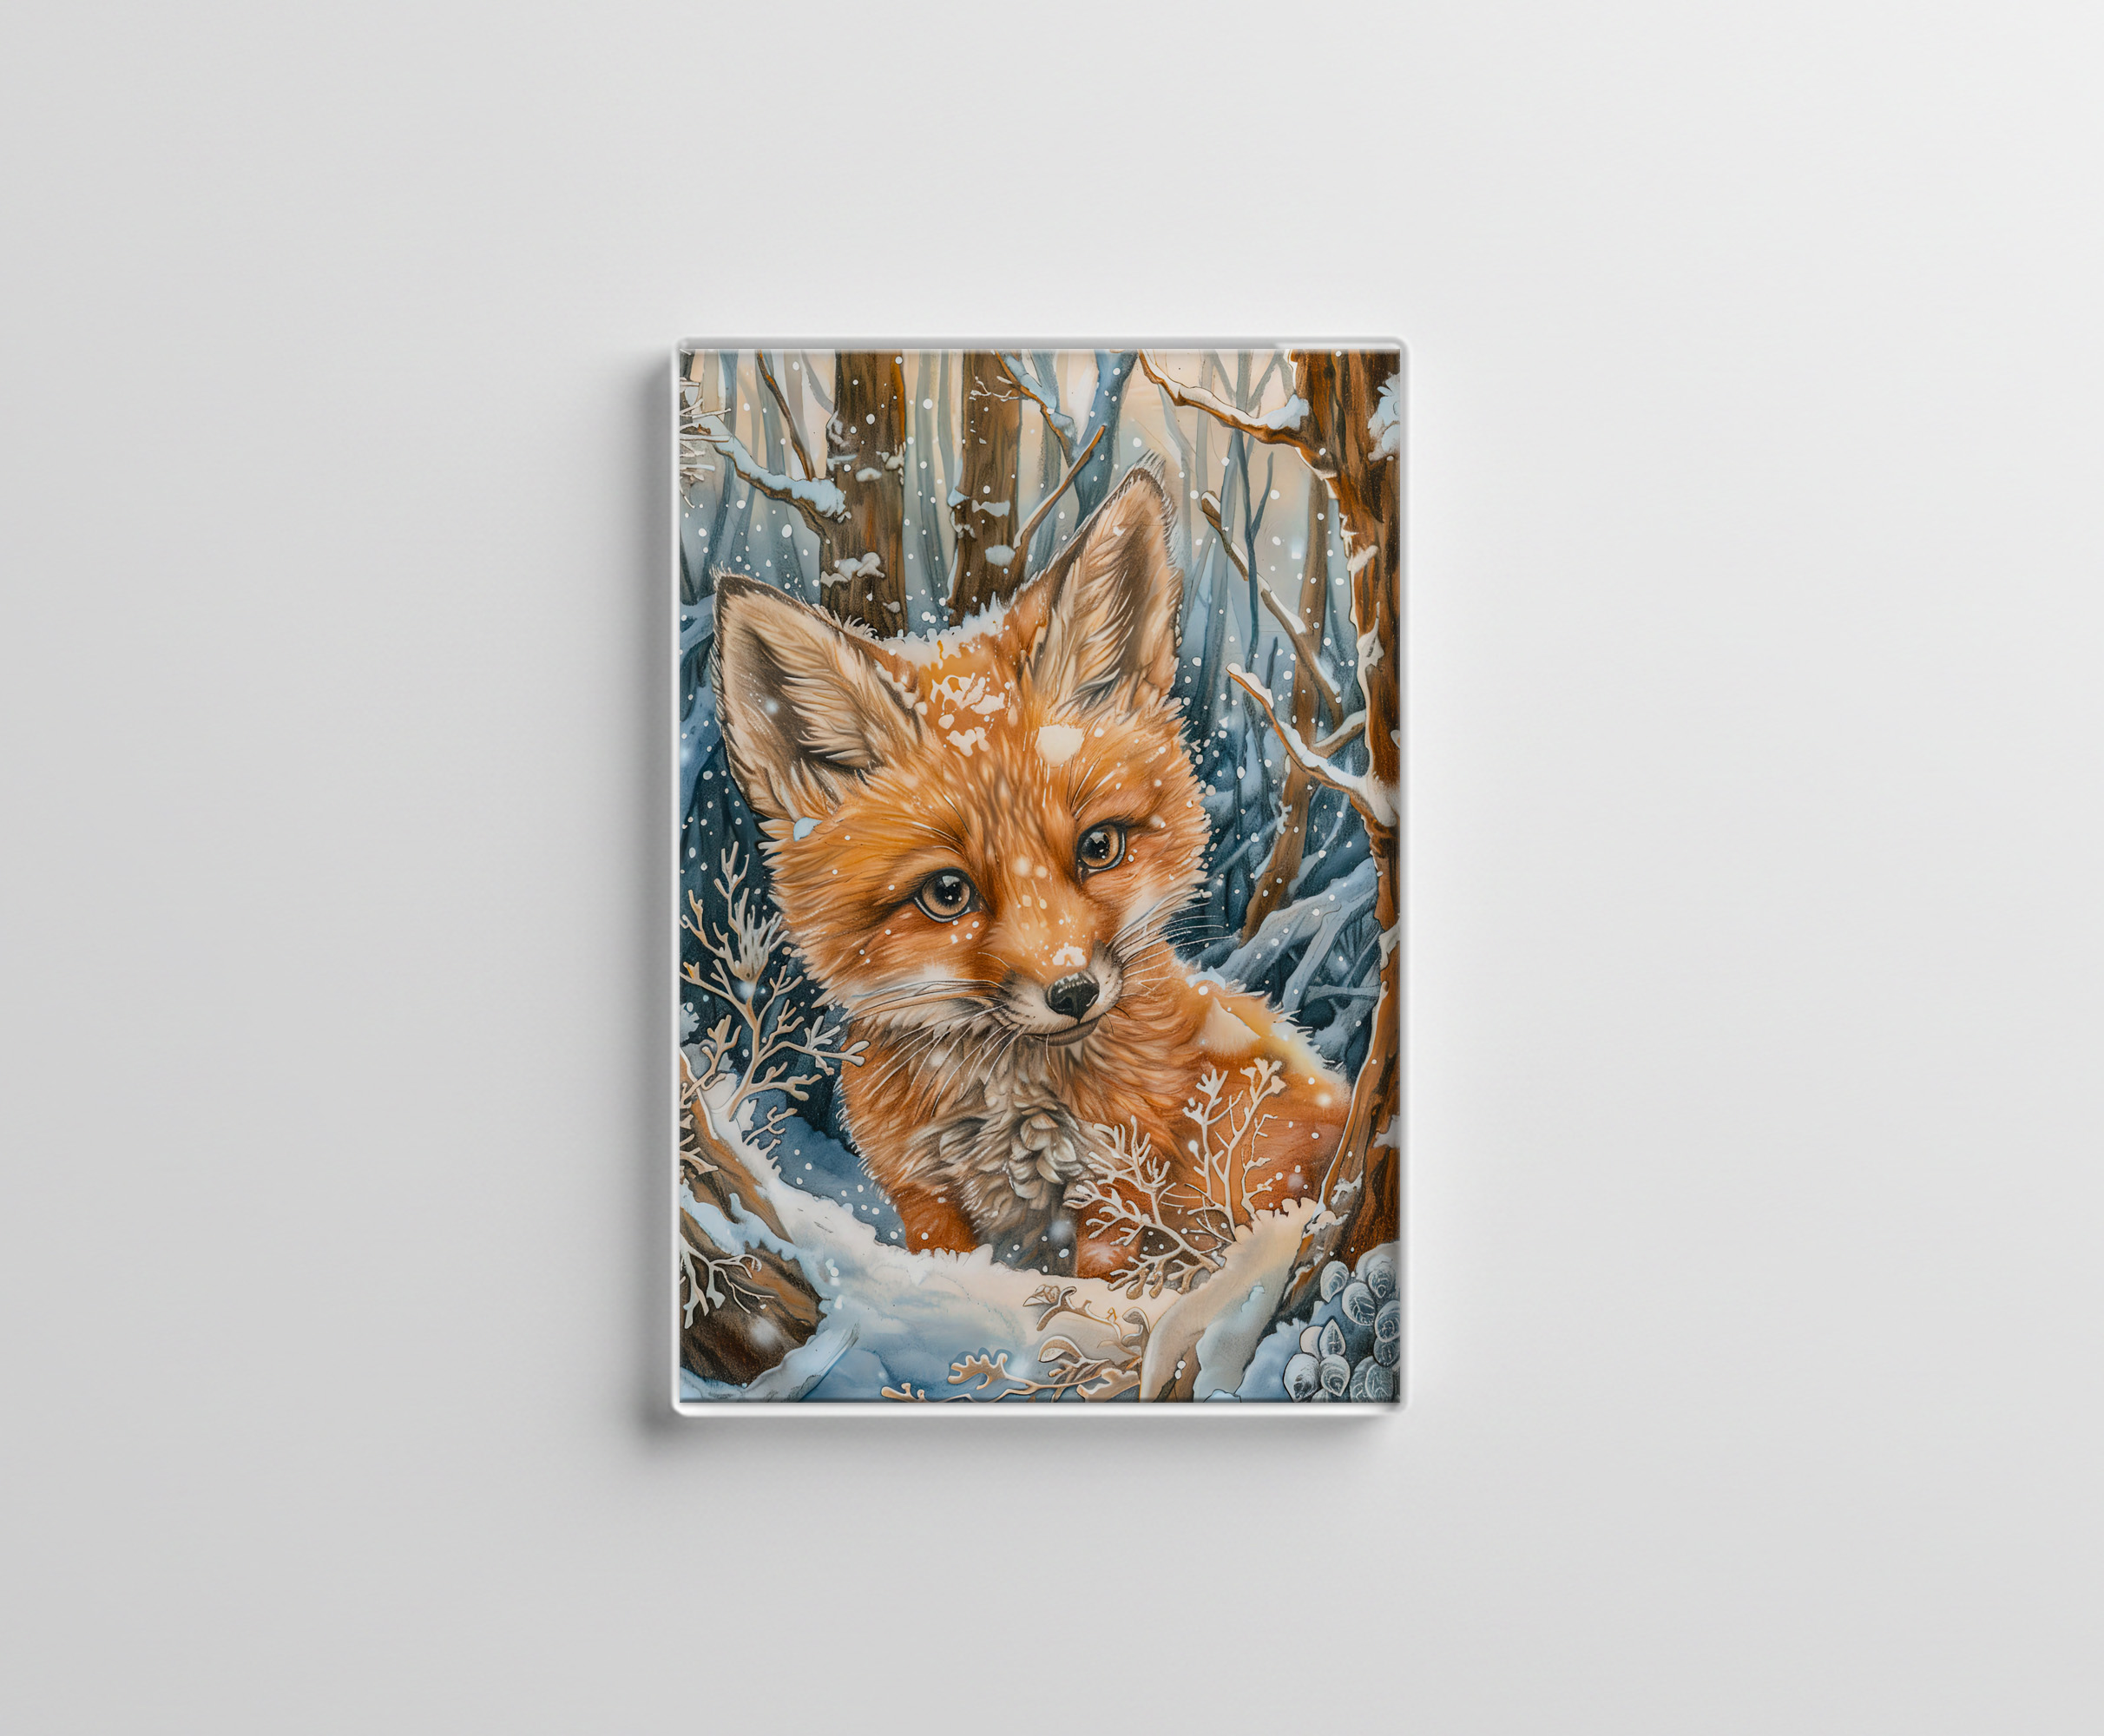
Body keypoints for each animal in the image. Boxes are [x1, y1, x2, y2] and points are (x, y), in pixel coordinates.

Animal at [711, 461, 1349, 1280]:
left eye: (1099, 848)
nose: (1074, 992)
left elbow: (1105, 1296)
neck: (1008, 1110)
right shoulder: (923, 1195)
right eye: (947, 893)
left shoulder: (1117, 1187)